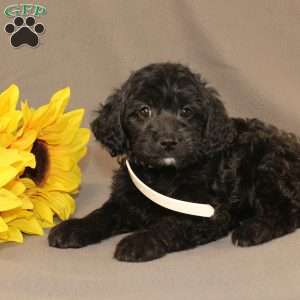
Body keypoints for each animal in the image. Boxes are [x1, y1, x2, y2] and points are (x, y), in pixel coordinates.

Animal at [48, 62, 300, 260]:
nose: (168, 142)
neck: (164, 175)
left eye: (186, 111)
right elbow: (101, 214)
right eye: (144, 111)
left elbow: (169, 224)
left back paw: (253, 230)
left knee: (288, 211)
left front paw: (139, 241)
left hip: (268, 166)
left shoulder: (207, 214)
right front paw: (74, 227)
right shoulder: (126, 200)